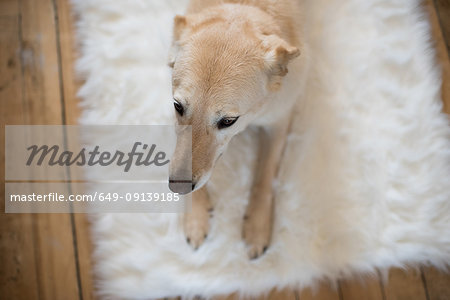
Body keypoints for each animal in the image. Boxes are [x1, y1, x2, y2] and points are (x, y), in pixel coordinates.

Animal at [167, 0, 308, 258]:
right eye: (178, 106)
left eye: (228, 121)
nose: (177, 188)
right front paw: (195, 217)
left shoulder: (280, 120)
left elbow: (265, 174)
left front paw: (257, 227)